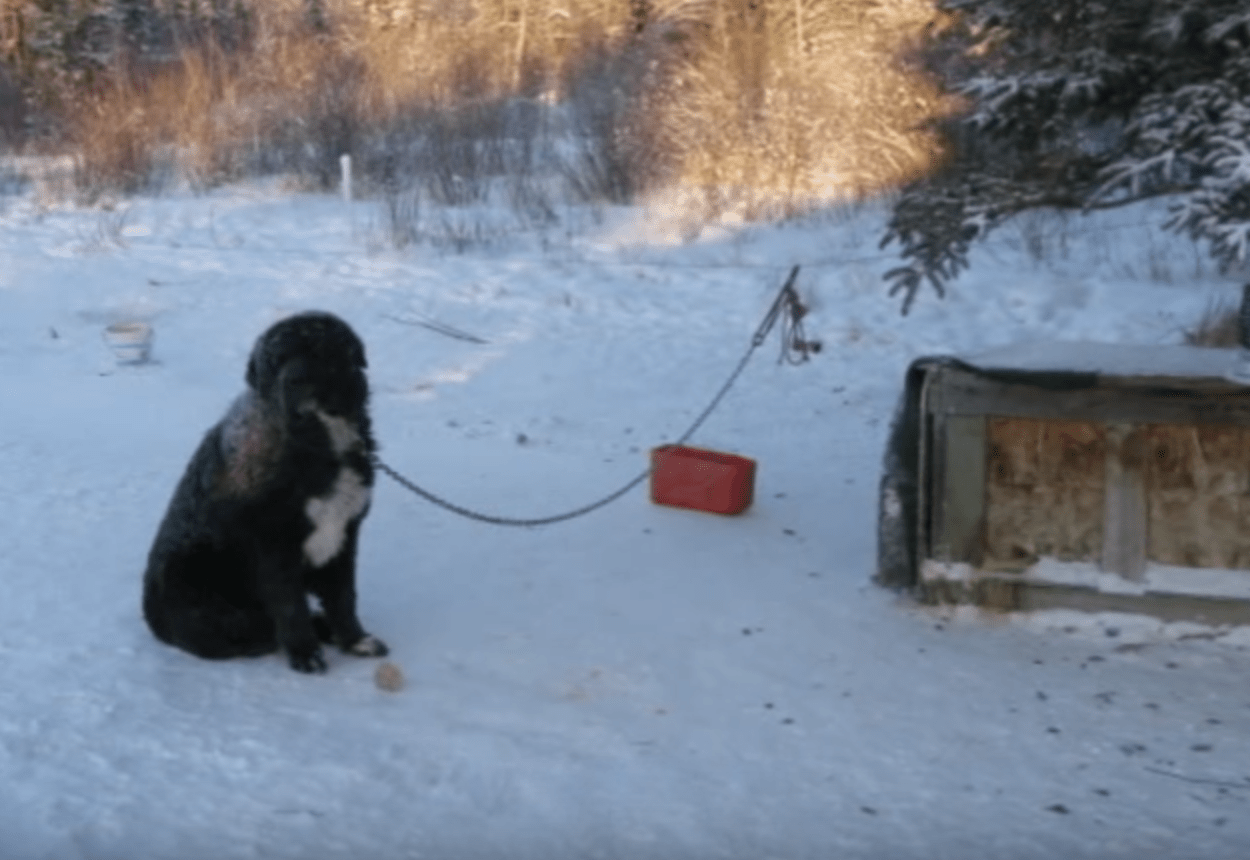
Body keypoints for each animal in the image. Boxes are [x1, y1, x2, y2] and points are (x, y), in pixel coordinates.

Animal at [141, 308, 385, 670]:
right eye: (275, 360)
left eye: (320, 350)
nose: (295, 380)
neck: (317, 443)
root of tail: (152, 621)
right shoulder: (273, 543)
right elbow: (290, 605)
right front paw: (305, 653)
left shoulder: (345, 534)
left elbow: (343, 597)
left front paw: (355, 640)